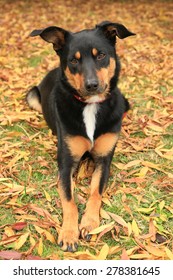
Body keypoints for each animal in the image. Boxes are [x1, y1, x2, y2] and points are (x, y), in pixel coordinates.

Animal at [26, 21, 135, 252]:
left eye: (101, 55)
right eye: (74, 60)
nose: (92, 85)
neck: (90, 106)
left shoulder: (104, 160)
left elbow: (95, 193)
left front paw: (90, 222)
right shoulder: (66, 165)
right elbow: (70, 201)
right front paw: (69, 232)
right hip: (32, 95)